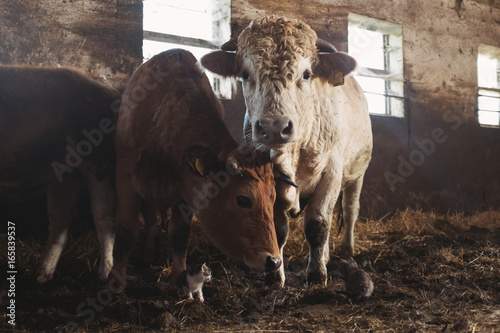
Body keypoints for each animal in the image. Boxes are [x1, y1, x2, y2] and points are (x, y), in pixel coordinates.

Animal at [0, 64, 119, 280]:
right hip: (66, 174)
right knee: (59, 222)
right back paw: (42, 276)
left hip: (101, 160)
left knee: (103, 215)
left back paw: (104, 274)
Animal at [109, 48, 280, 290]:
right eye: (243, 199)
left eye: (273, 198)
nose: (274, 261)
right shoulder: (125, 176)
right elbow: (126, 230)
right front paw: (115, 281)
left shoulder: (186, 191)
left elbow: (180, 234)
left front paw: (179, 278)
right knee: (149, 217)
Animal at [201, 16, 374, 286]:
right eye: (245, 74)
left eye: (307, 74)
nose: (274, 127)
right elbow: (279, 229)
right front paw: (276, 276)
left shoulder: (332, 172)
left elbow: (317, 225)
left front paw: (316, 276)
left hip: (357, 173)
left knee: (350, 211)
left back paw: (348, 251)